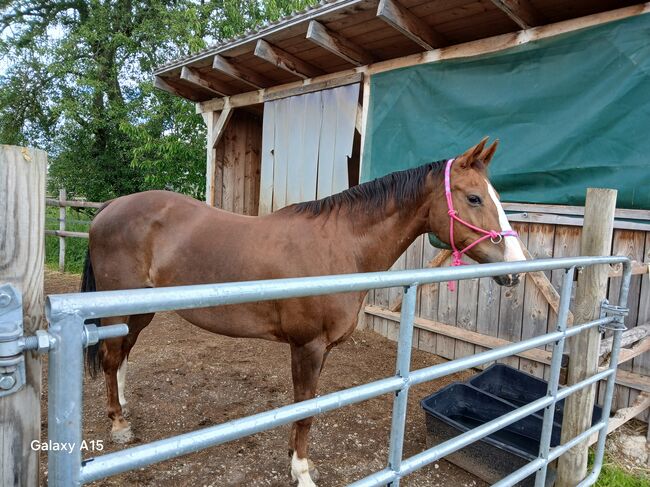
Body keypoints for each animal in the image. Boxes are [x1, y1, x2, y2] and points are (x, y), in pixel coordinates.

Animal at [83, 138, 524, 487]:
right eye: (473, 198)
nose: (517, 267)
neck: (341, 246)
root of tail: (109, 208)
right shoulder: (307, 346)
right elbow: (305, 412)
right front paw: (302, 473)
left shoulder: (320, 349)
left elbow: (305, 410)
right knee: (110, 356)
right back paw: (119, 425)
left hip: (141, 309)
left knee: (122, 353)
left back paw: (124, 409)